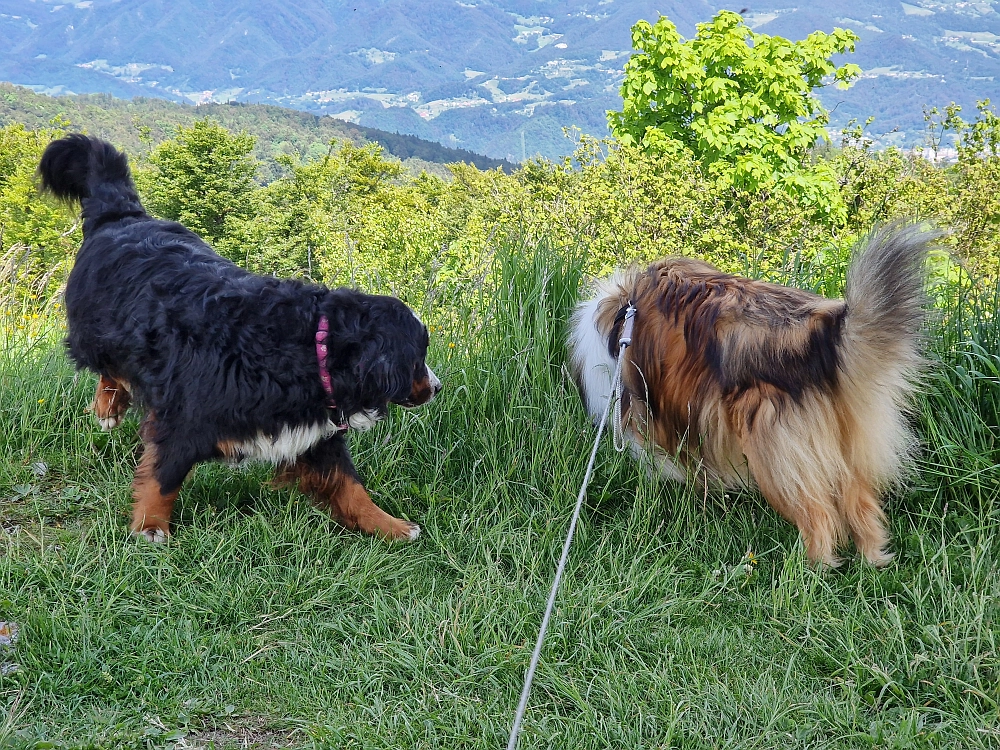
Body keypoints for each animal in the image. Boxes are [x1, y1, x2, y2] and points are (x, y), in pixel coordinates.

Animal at [40, 135, 438, 544]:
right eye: (417, 359)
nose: (436, 387)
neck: (309, 348)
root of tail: (123, 216)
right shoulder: (185, 421)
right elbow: (162, 478)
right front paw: (151, 526)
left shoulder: (311, 435)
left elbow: (350, 486)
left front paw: (388, 525)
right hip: (99, 335)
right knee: (112, 369)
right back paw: (108, 409)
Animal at [576, 226, 932, 568]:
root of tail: (817, 332)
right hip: (837, 444)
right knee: (860, 505)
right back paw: (873, 559)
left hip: (774, 448)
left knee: (817, 516)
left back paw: (812, 567)